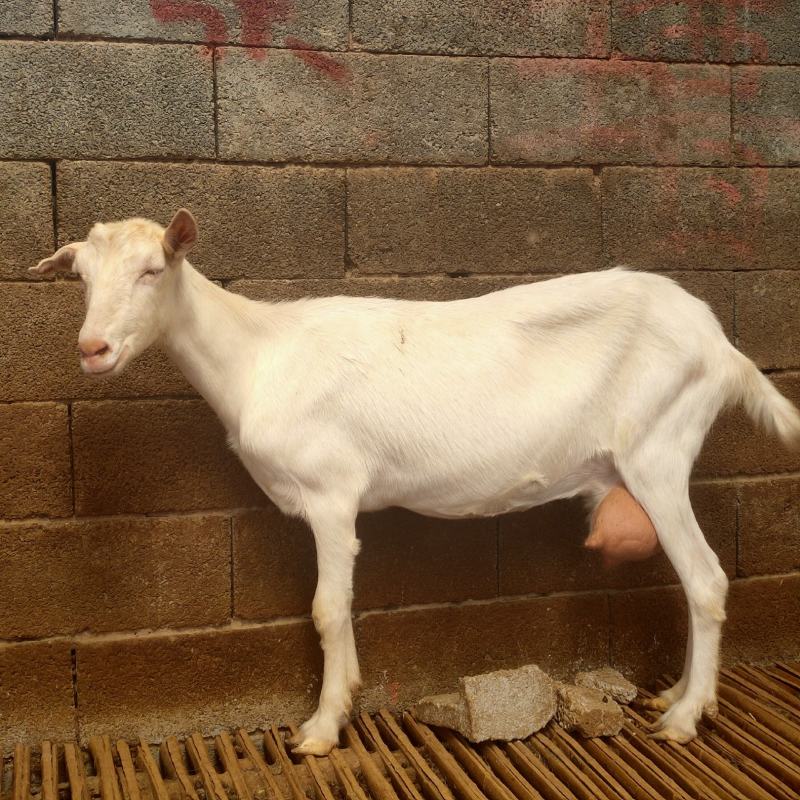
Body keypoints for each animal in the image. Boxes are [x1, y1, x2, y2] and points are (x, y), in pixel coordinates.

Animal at [31, 209, 800, 755]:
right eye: (83, 278)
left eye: (152, 270)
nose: (92, 349)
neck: (257, 357)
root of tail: (723, 348)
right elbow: (335, 606)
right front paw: (338, 706)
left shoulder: (331, 491)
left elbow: (326, 608)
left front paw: (320, 729)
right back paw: (679, 695)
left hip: (659, 450)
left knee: (706, 579)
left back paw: (684, 718)